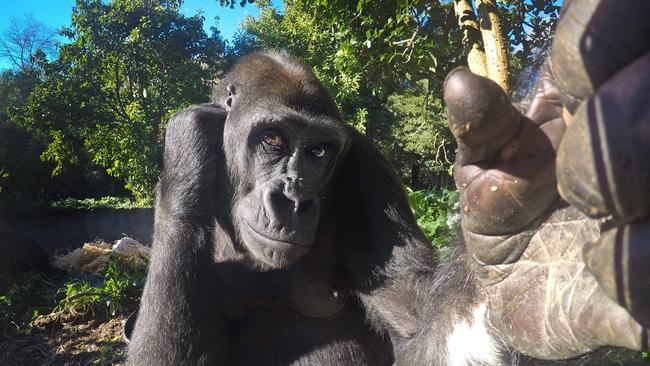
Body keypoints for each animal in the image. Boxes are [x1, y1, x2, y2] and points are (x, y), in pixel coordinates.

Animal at [128, 1, 648, 364]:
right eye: (272, 140)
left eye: (318, 152)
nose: (294, 198)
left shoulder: (367, 170)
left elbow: (417, 329)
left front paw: (534, 262)